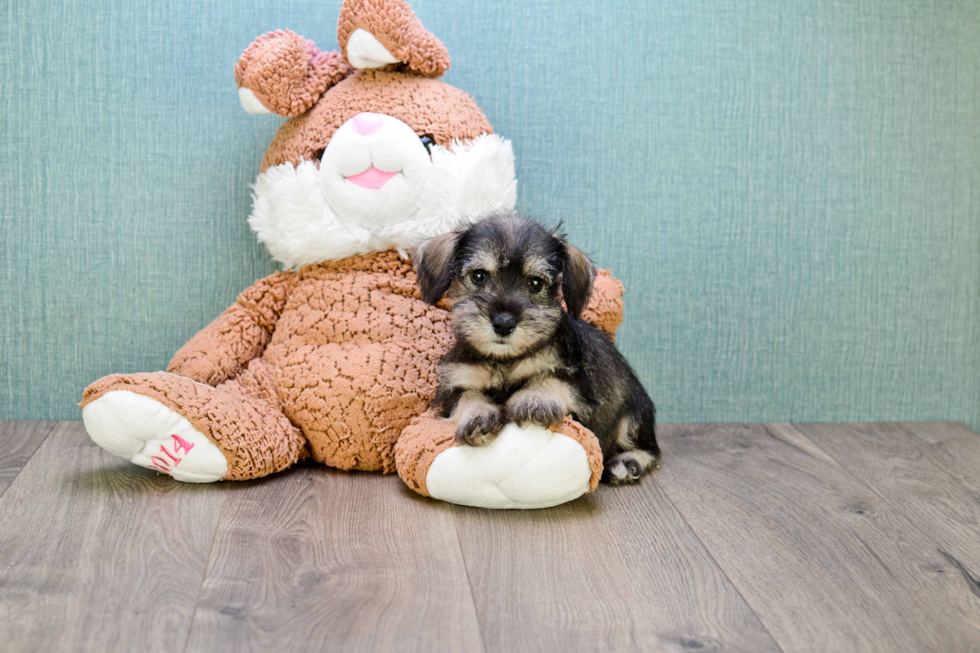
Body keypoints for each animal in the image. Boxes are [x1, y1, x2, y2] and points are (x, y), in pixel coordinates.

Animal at [410, 214, 664, 484]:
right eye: (478, 276)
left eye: (535, 283)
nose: (503, 323)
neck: (504, 359)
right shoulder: (455, 385)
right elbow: (467, 396)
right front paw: (477, 415)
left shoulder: (575, 378)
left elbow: (548, 378)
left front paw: (534, 399)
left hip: (635, 411)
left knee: (650, 449)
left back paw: (626, 463)